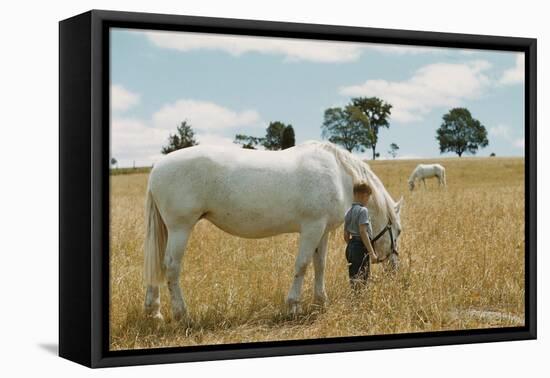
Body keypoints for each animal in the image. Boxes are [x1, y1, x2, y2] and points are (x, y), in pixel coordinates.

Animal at [142, 140, 404, 320]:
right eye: (398, 230)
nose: (394, 268)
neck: (339, 175)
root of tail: (156, 169)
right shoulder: (312, 227)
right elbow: (302, 265)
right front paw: (294, 305)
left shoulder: (323, 231)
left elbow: (320, 265)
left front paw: (321, 301)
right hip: (180, 228)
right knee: (171, 267)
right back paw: (182, 314)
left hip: (168, 230)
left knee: (156, 264)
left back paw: (154, 312)